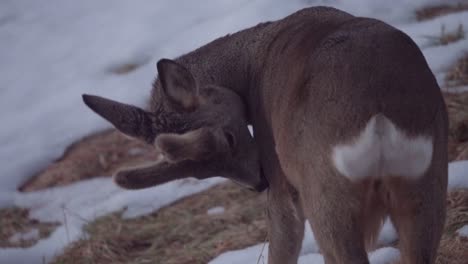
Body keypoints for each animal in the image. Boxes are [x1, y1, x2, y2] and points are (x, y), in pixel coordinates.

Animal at [82, 5, 448, 264]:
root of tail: (379, 116)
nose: (258, 182)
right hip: (428, 178)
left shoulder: (281, 177)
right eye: (197, 175)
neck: (251, 60)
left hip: (324, 192)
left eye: (229, 137)